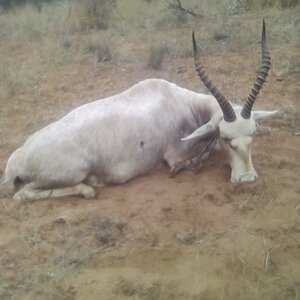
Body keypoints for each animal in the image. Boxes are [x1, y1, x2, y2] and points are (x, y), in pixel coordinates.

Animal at [0, 19, 276, 200]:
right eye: (226, 137)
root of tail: (20, 156)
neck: (182, 102)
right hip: (71, 172)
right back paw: (89, 188)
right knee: (22, 194)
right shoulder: (176, 154)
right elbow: (199, 155)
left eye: (252, 134)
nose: (247, 179)